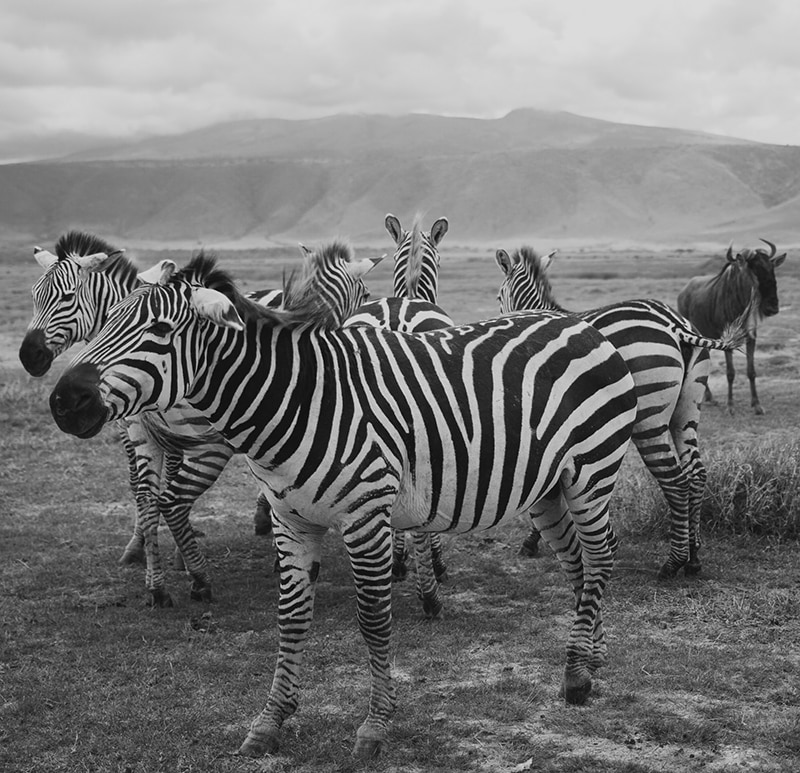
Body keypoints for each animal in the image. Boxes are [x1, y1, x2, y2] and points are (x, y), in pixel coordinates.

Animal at [496, 244, 748, 576]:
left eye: (498, 297)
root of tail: (676, 325)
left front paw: (533, 540)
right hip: (688, 409)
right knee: (696, 474)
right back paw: (694, 557)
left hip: (649, 416)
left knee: (675, 480)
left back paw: (673, 562)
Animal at [680, 240, 784, 416]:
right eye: (755, 270)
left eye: (771, 268)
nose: (773, 307)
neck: (741, 304)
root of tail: (684, 290)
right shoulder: (727, 343)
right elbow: (730, 373)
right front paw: (730, 405)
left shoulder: (751, 338)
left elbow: (751, 371)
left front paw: (757, 405)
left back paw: (709, 396)